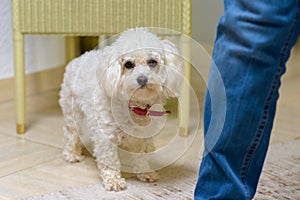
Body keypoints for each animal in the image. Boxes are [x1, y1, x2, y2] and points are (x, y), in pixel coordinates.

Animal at [59, 27, 183, 191]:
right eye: (128, 64)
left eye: (152, 62)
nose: (142, 79)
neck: (135, 106)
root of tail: (79, 58)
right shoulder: (106, 135)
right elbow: (109, 160)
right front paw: (113, 181)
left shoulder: (143, 137)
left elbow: (142, 157)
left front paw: (145, 173)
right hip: (72, 112)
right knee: (71, 133)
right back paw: (72, 154)